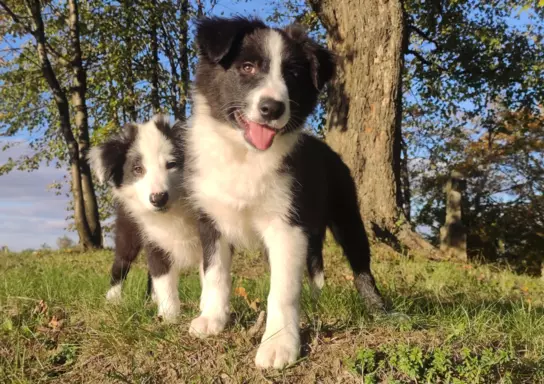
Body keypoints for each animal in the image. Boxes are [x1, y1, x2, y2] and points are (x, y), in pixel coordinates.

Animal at [88, 115, 201, 320]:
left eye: (171, 164)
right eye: (137, 169)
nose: (158, 198)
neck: (175, 212)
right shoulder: (153, 238)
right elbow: (163, 277)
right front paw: (169, 317)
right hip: (128, 231)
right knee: (121, 264)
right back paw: (113, 299)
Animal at [187, 18, 386, 368]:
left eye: (293, 75)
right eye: (248, 67)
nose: (272, 108)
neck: (244, 154)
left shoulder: (287, 225)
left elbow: (282, 289)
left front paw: (278, 344)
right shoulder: (210, 219)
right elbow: (214, 273)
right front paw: (212, 320)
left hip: (347, 215)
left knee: (361, 265)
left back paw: (378, 308)